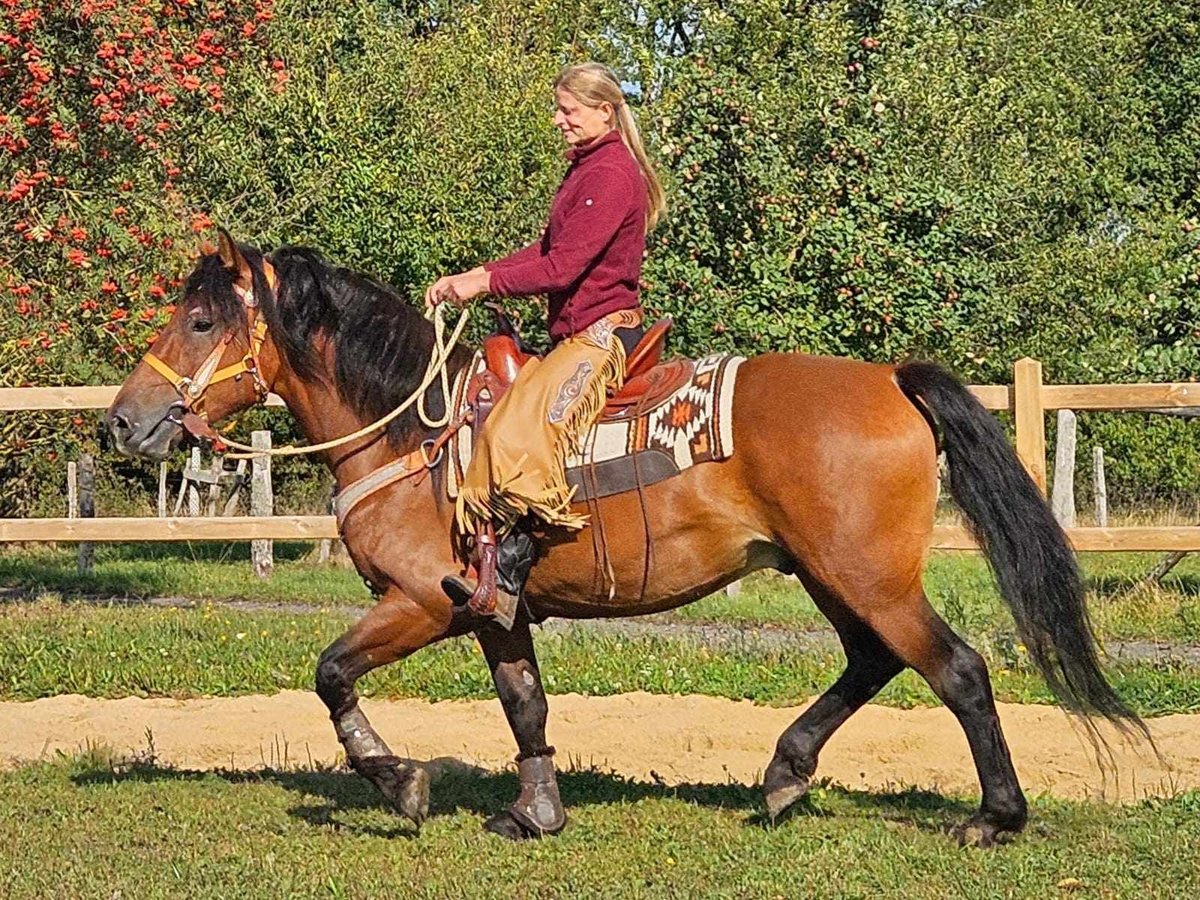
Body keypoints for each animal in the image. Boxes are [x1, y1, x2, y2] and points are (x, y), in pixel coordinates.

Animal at [105, 236, 1142, 849]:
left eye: (201, 319)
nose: (124, 422)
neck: (411, 432)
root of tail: (890, 378)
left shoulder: (420, 602)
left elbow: (331, 675)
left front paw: (399, 783)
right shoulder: (494, 610)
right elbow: (524, 705)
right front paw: (535, 811)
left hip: (867, 576)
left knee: (956, 670)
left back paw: (993, 818)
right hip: (831, 574)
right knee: (873, 664)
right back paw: (783, 775)